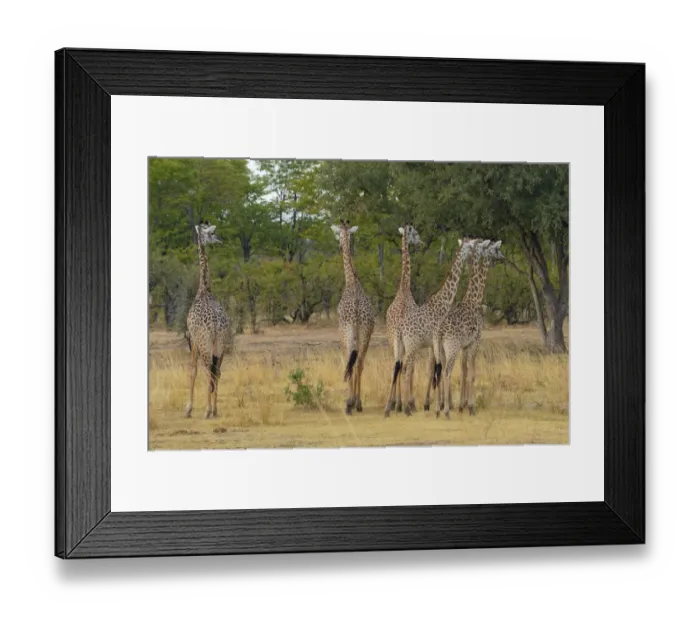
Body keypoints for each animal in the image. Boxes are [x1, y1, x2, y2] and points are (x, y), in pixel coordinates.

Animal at [387, 236, 477, 416]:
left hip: (398, 345)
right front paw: (440, 405)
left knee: (397, 367)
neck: (443, 302)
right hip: (412, 346)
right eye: (469, 244)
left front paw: (438, 404)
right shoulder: (436, 342)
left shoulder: (433, 344)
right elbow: (437, 370)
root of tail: (400, 329)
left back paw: (392, 406)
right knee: (406, 369)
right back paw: (406, 407)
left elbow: (435, 370)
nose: (474, 249)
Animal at [433, 240, 504, 419]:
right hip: (451, 347)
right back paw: (446, 411)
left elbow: (464, 372)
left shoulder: (465, 346)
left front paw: (462, 405)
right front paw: (471, 407)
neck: (474, 299)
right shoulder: (475, 342)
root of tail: (440, 332)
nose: (503, 257)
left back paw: (437, 410)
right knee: (447, 373)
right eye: (497, 249)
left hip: (438, 349)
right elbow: (471, 374)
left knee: (438, 372)